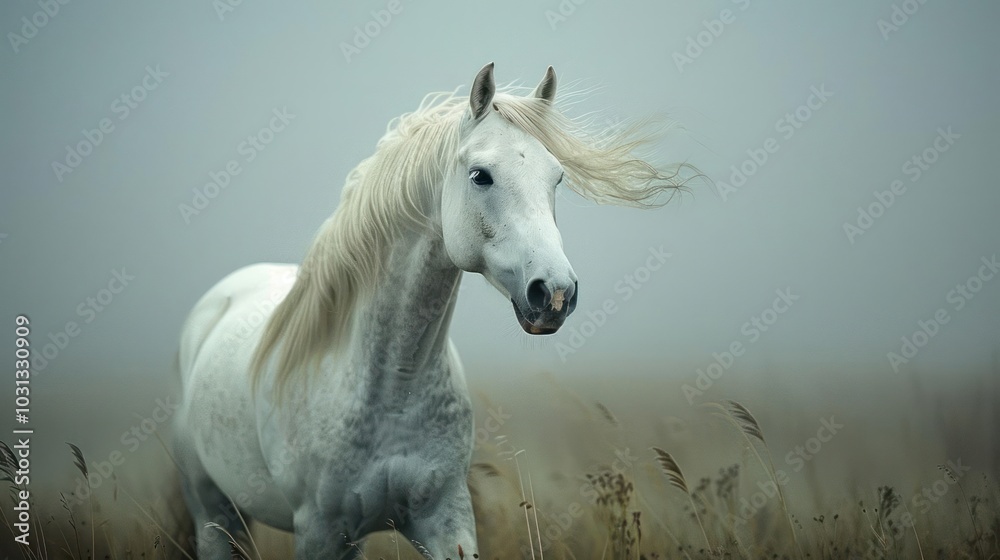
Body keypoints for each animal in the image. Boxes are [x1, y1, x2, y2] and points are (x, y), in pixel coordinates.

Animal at [173, 62, 692, 559]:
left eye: (557, 178)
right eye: (480, 175)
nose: (556, 294)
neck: (391, 386)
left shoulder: (445, 518)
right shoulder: (318, 531)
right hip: (215, 515)